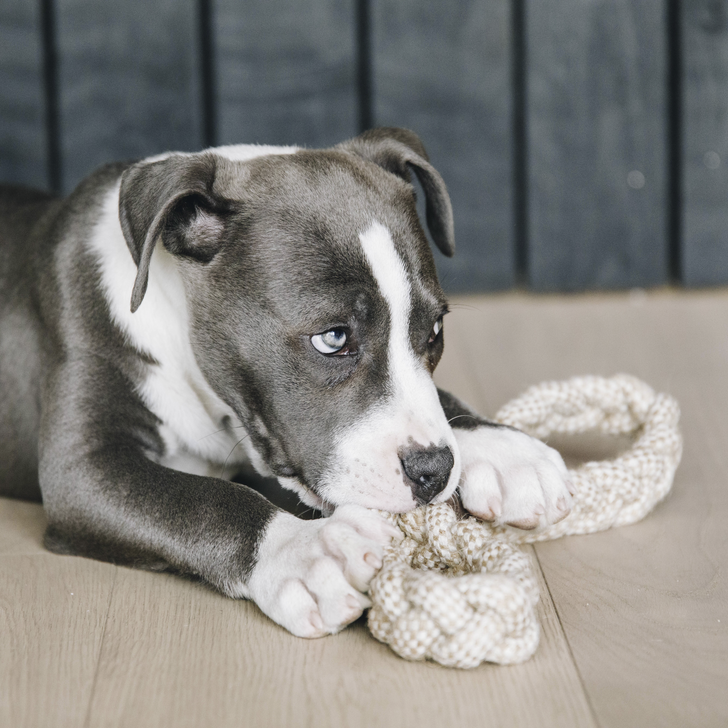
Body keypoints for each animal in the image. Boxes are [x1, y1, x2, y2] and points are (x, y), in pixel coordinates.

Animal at [0, 129, 572, 636]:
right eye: (333, 338)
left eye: (434, 332)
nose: (433, 470)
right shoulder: (82, 468)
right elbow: (200, 499)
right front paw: (305, 550)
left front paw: (501, 448)